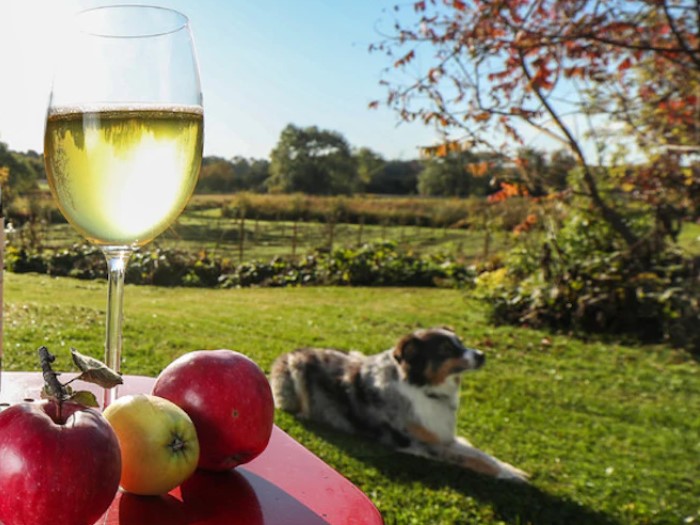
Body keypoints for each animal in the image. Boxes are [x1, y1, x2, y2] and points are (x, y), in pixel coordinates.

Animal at [270, 326, 528, 482]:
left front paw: (511, 468)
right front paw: (510, 476)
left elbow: (480, 453)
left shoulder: (443, 435)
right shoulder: (418, 443)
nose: (482, 355)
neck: (424, 388)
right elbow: (470, 459)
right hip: (298, 367)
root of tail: (292, 351)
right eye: (446, 349)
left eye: (461, 343)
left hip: (352, 353)